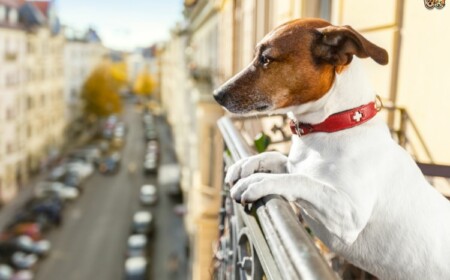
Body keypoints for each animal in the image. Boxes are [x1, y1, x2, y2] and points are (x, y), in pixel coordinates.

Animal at [213, 18, 450, 280]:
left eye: (265, 58)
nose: (216, 94)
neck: (332, 125)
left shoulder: (350, 214)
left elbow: (303, 181)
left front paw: (259, 181)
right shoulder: (295, 164)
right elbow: (280, 159)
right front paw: (247, 163)